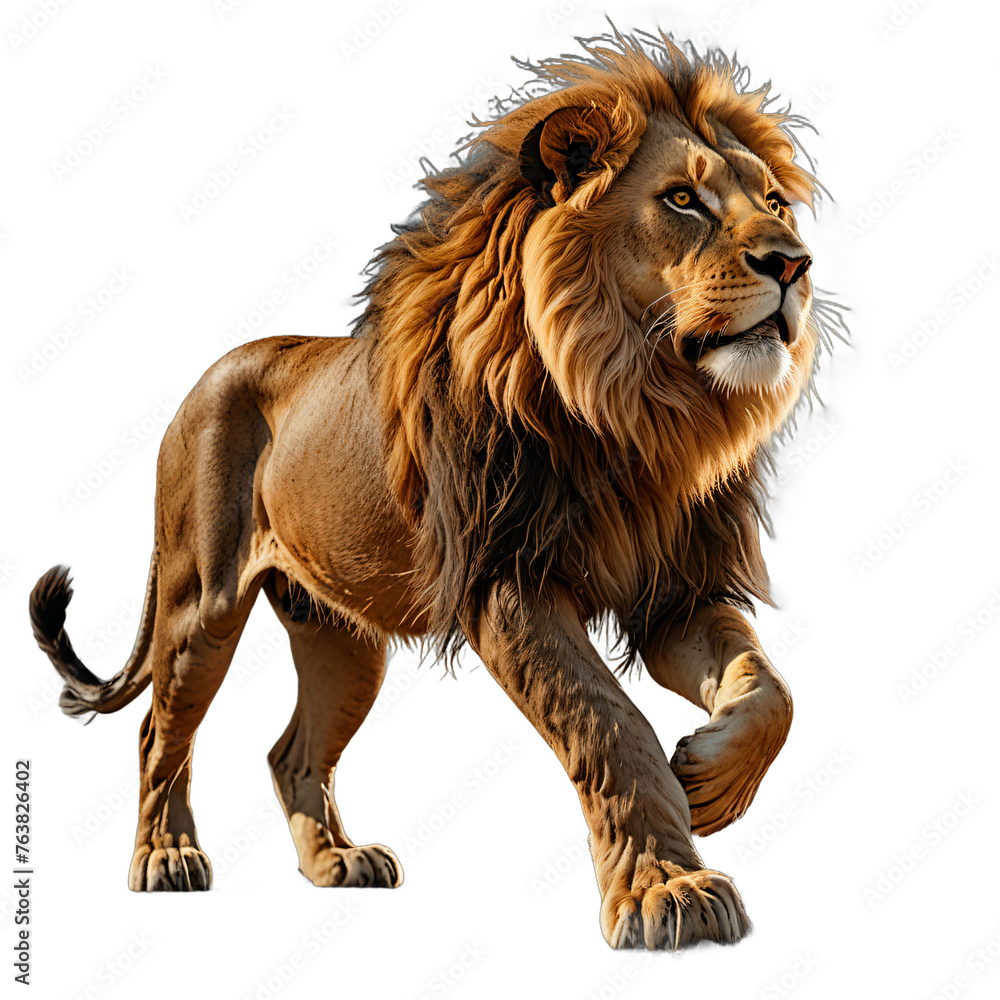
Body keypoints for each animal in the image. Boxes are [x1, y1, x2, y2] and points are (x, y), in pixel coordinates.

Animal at [29, 27, 844, 950]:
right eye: (681, 199)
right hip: (199, 607)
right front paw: (666, 890)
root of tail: (210, 373)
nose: (794, 264)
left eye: (775, 202)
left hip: (345, 642)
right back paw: (165, 859)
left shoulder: (677, 590)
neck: (634, 408)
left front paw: (708, 779)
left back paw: (336, 862)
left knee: (291, 752)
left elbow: (771, 687)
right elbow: (607, 724)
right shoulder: (506, 581)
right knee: (156, 734)